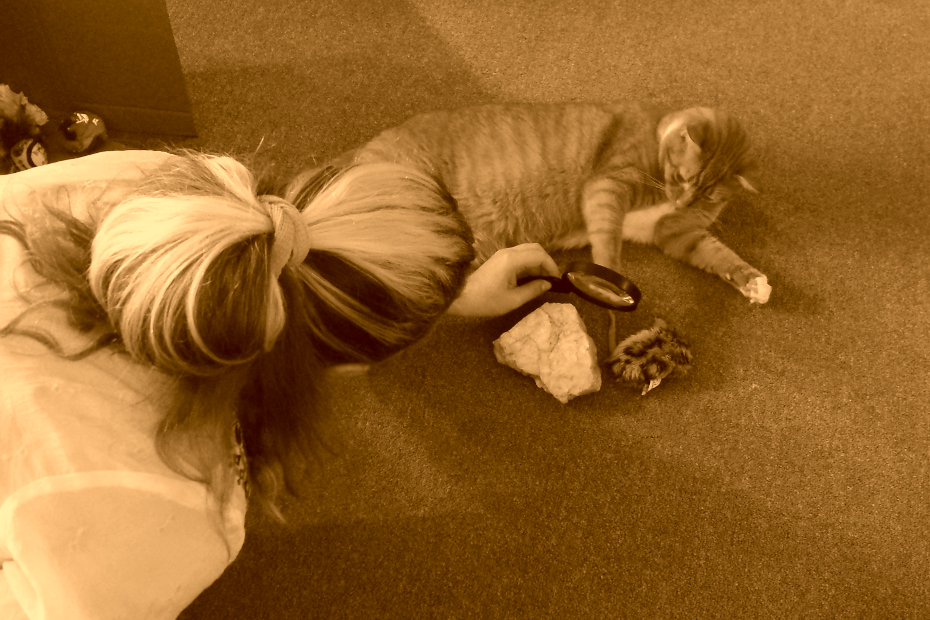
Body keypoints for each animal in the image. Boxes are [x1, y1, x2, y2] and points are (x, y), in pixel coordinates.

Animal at [338, 101, 764, 302]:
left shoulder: (677, 236)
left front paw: (754, 283)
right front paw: (608, 280)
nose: (682, 203)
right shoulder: (608, 185)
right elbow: (608, 242)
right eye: (681, 178)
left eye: (707, 194)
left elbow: (720, 256)